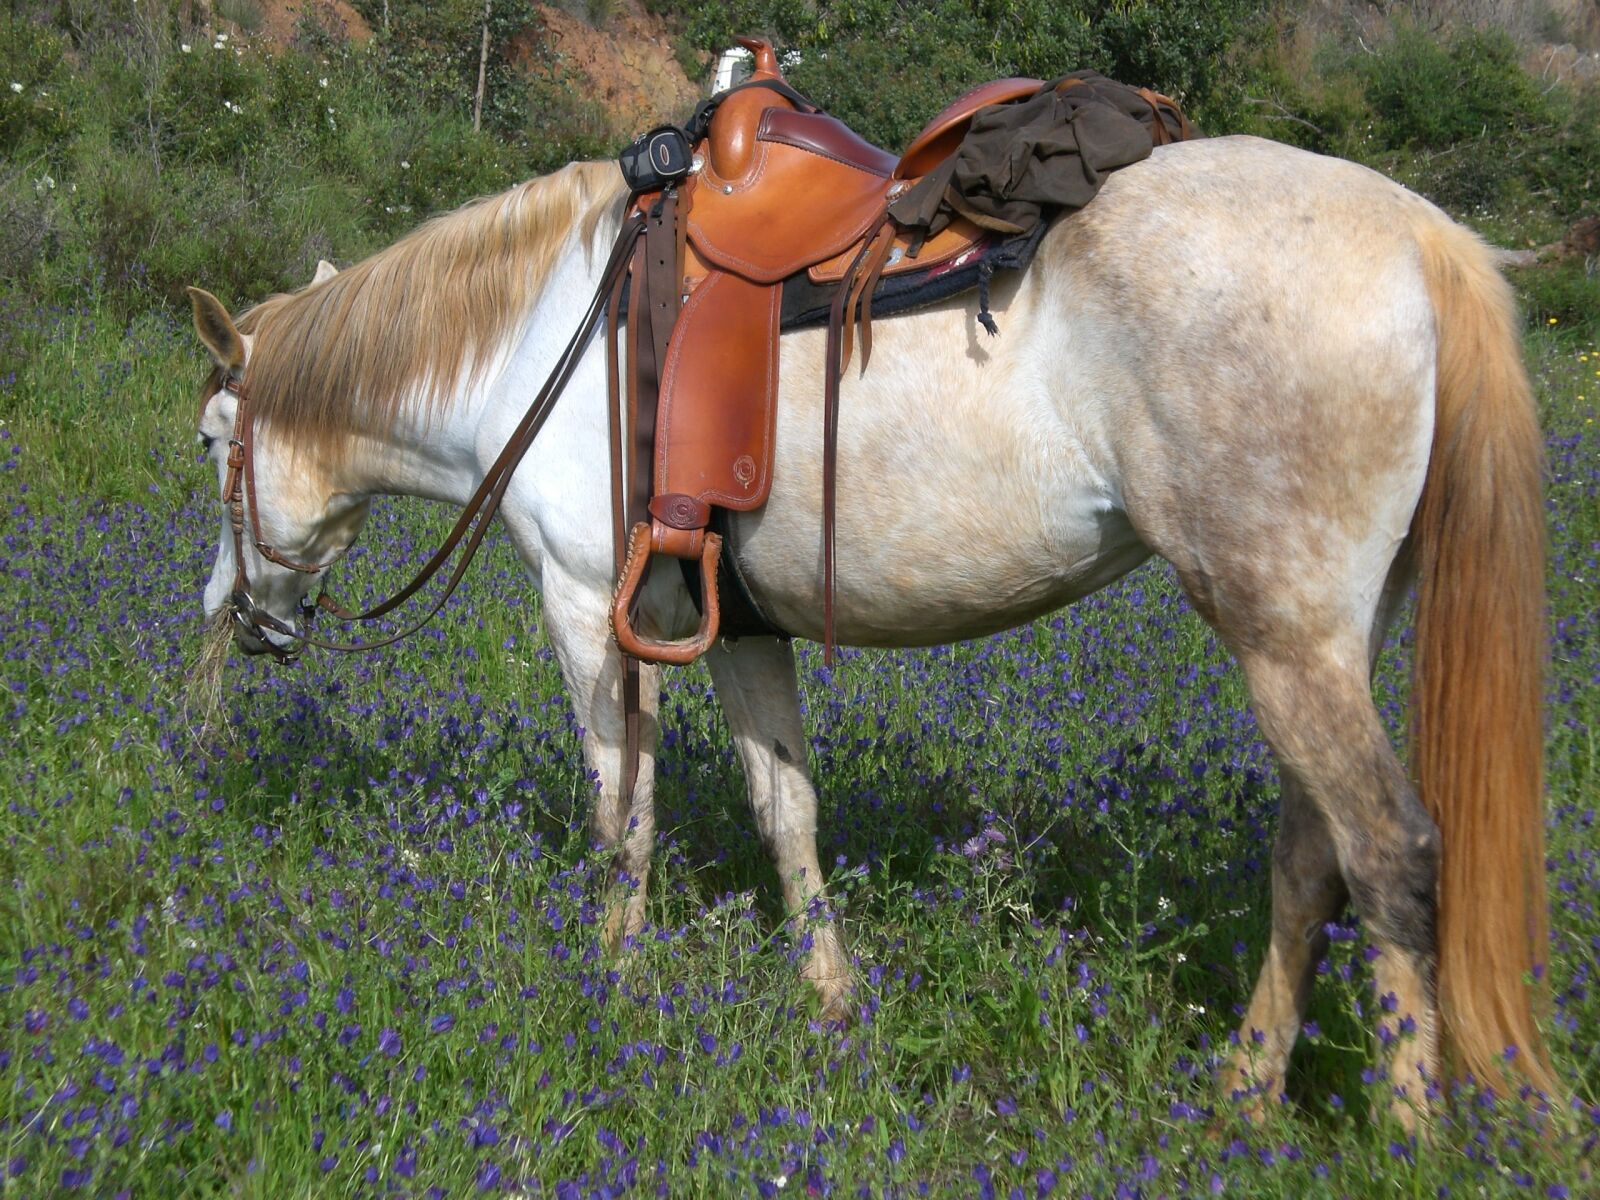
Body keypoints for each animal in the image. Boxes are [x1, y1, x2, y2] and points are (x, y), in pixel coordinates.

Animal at [185, 134, 1553, 1124]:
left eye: (209, 444)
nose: (234, 622)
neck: (539, 342)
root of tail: (1421, 234)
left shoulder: (585, 610)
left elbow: (621, 815)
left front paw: (614, 995)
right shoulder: (732, 625)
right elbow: (784, 812)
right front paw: (833, 1010)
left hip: (1286, 640)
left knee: (1390, 856)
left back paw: (1404, 1129)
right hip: (1323, 638)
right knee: (1310, 858)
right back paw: (1245, 1099)